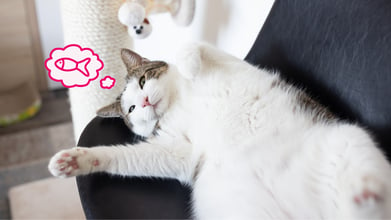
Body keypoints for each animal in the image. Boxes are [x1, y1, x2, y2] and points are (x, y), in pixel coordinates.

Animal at [48, 42, 391, 218]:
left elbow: (191, 44)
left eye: (143, 81)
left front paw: (188, 66)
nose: (144, 102)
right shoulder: (179, 150)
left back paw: (365, 190)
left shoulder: (229, 59)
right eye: (131, 110)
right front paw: (75, 160)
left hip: (348, 139)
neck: (178, 101)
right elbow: (129, 158)